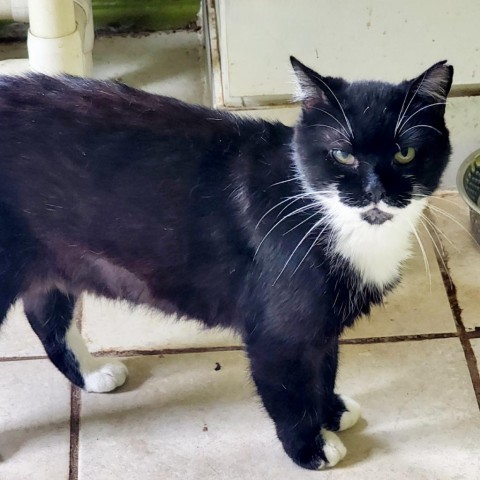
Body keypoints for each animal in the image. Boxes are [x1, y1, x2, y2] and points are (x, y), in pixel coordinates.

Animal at [0, 57, 454, 468]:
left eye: (406, 154)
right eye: (342, 154)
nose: (375, 191)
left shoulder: (320, 323)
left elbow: (325, 365)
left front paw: (331, 412)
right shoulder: (277, 332)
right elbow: (290, 388)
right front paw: (309, 446)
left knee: (47, 316)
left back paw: (92, 373)